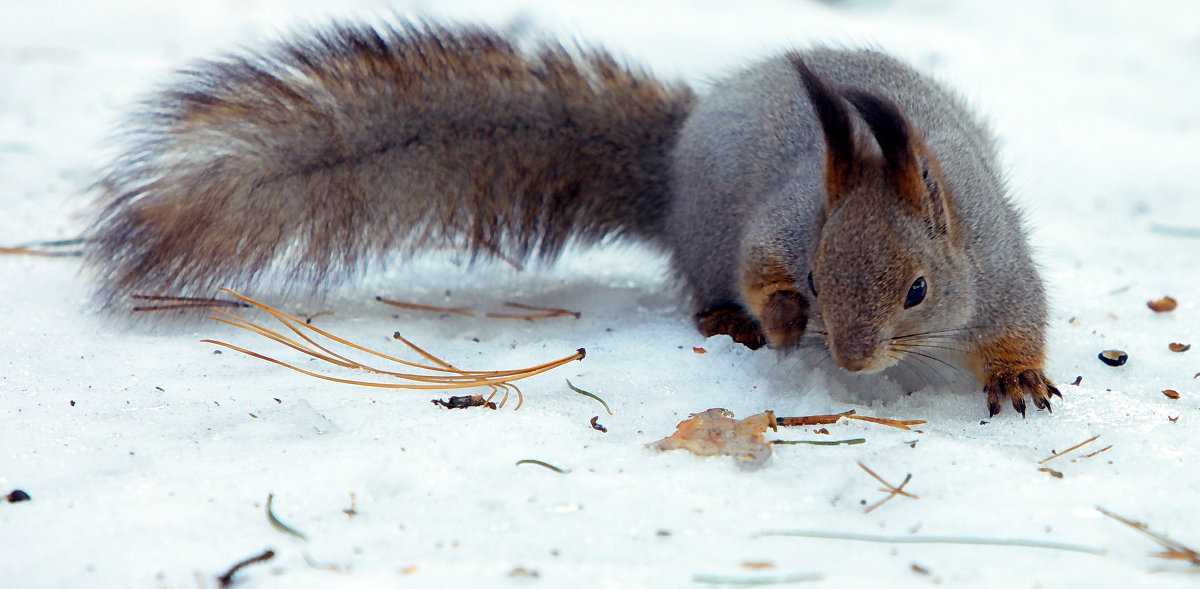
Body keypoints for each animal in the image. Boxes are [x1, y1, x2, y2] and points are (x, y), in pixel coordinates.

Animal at [87, 23, 1060, 417]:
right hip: (708, 229)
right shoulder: (780, 218)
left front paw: (1018, 379)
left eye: (919, 289)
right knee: (710, 272)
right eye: (819, 273)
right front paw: (783, 315)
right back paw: (729, 316)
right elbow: (761, 262)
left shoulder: (1001, 270)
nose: (852, 359)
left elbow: (1020, 324)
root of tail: (673, 159)